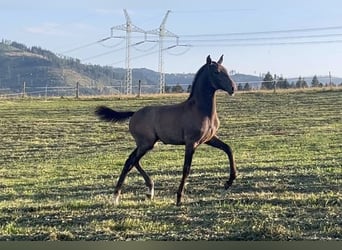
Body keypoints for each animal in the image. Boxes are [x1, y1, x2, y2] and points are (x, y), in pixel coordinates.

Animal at [95, 54, 236, 205]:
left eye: (226, 70)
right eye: (216, 72)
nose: (233, 88)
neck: (200, 110)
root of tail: (134, 113)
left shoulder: (209, 139)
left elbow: (228, 149)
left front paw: (229, 182)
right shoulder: (191, 143)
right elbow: (186, 168)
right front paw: (179, 198)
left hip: (146, 144)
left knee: (131, 160)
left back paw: (146, 191)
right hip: (146, 144)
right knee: (131, 162)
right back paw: (118, 196)